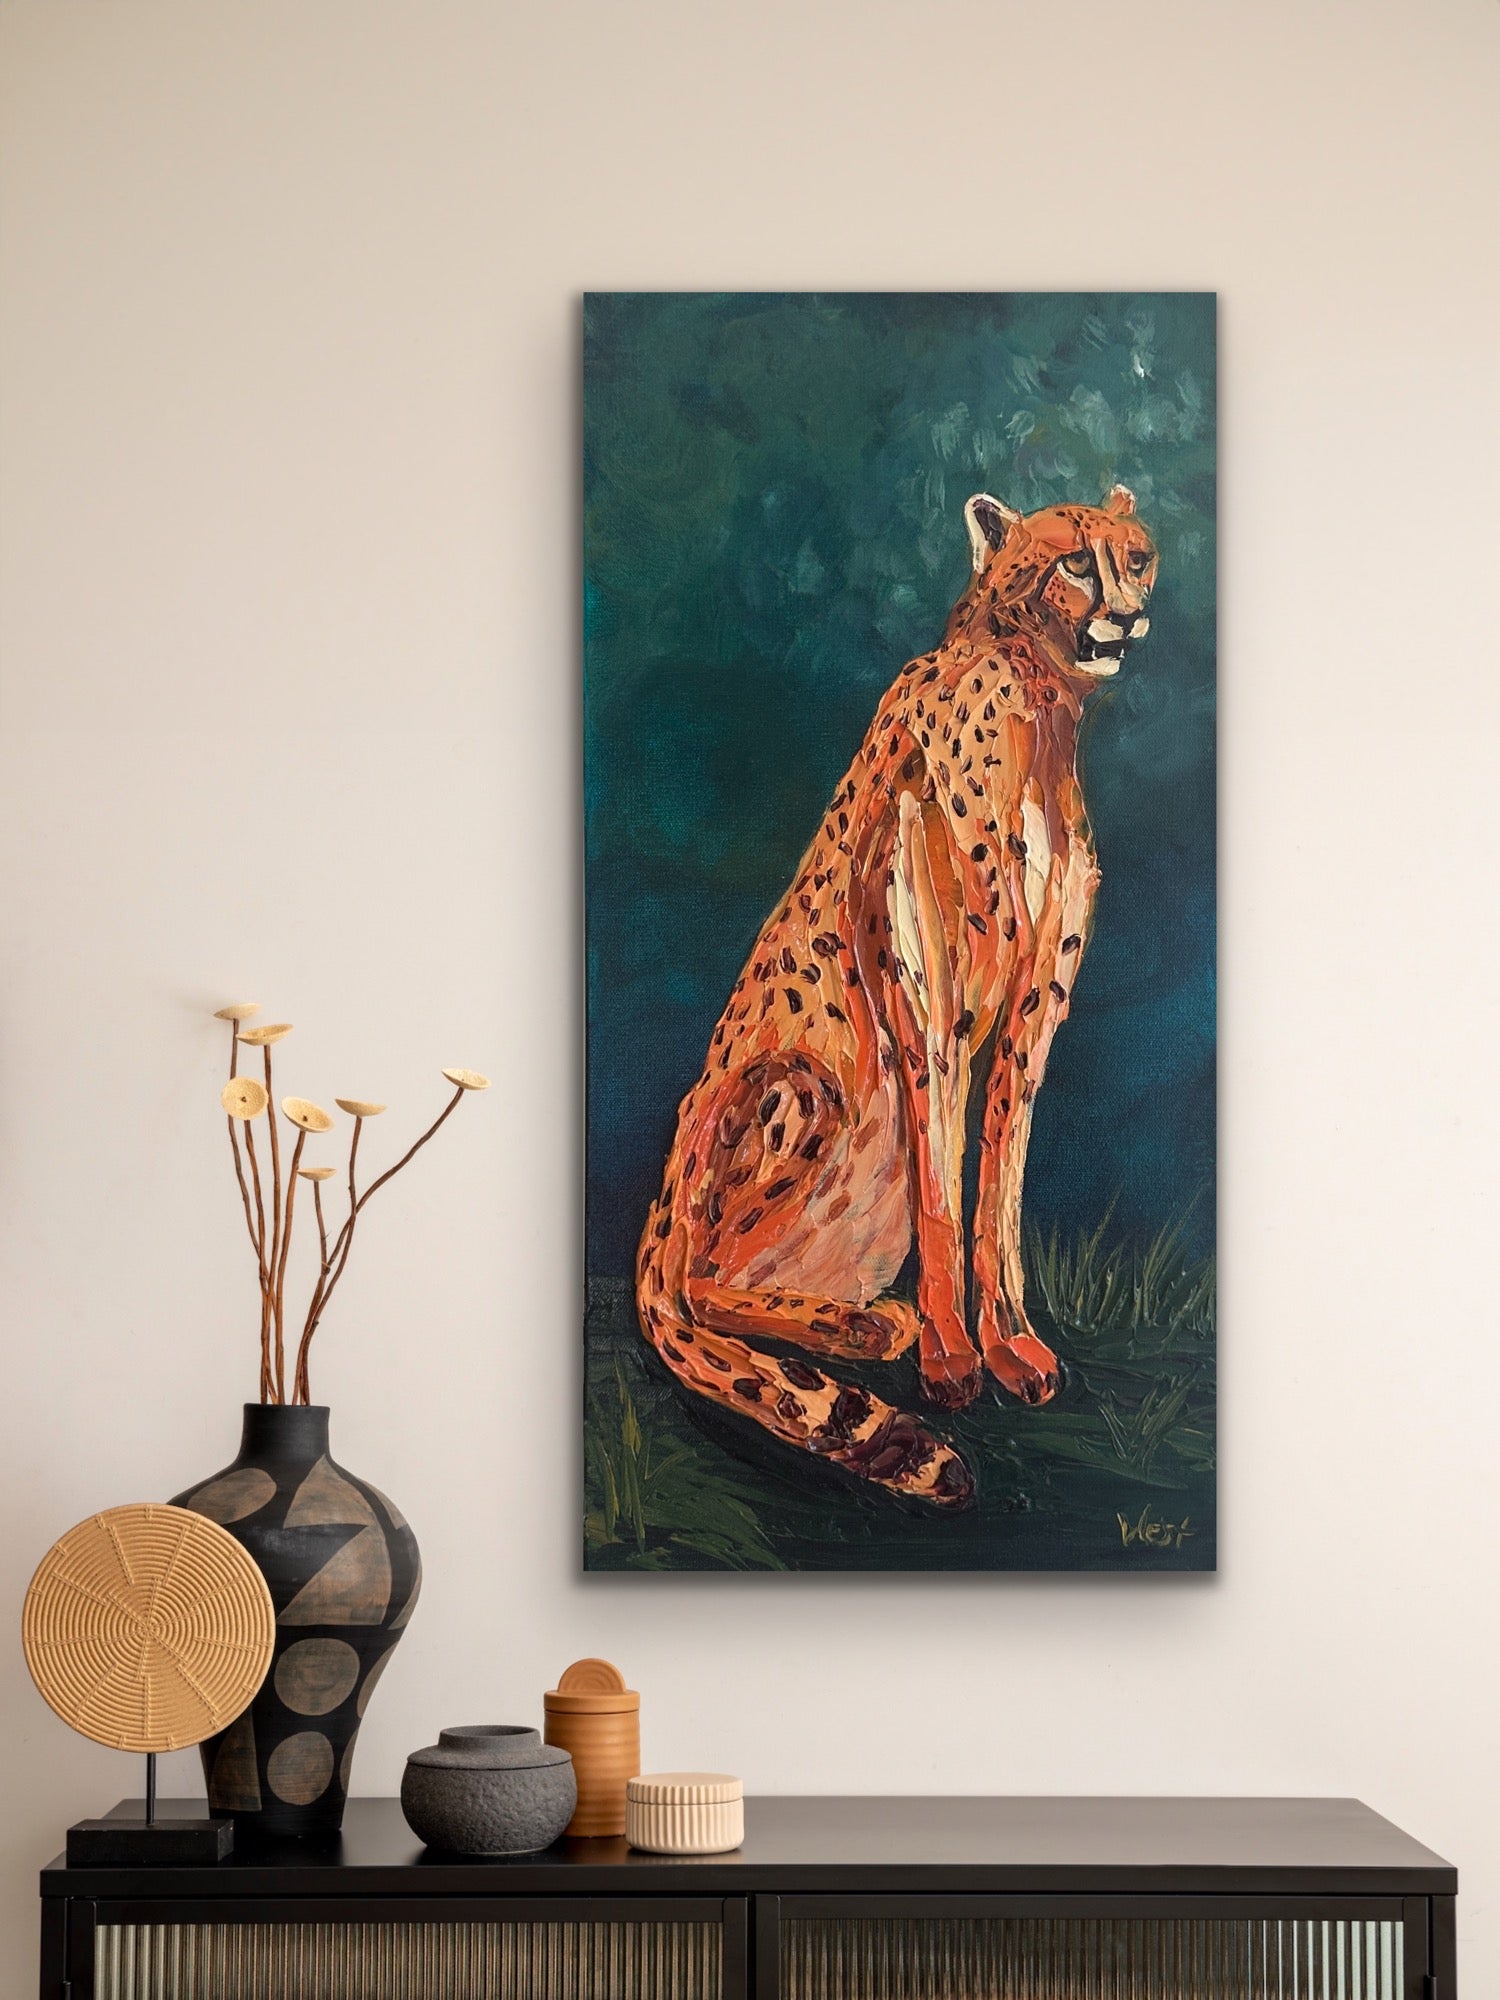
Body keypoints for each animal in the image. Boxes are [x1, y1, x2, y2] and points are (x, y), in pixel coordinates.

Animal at [634, 485, 1158, 1507]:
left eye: (1136, 556)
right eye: (1074, 561)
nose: (1124, 613)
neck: (1035, 705)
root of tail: (653, 1228)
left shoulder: (1036, 1007)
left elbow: (998, 1182)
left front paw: (1013, 1346)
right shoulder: (932, 1004)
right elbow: (944, 1194)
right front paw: (954, 1359)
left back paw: (861, 1314)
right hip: (795, 1087)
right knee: (692, 1290)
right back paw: (870, 1327)